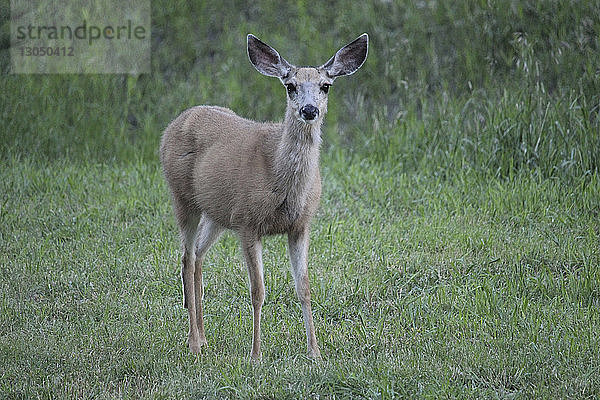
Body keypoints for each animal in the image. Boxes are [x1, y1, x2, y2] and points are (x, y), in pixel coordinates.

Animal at [159, 33, 368, 360]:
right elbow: (258, 291)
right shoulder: (248, 222)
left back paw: (204, 338)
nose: (309, 110)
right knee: (186, 257)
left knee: (199, 255)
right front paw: (256, 354)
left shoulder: (300, 226)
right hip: (182, 196)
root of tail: (176, 121)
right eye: (290, 85)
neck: (281, 181)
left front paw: (315, 353)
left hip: (218, 214)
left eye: (325, 85)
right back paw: (193, 342)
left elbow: (304, 288)